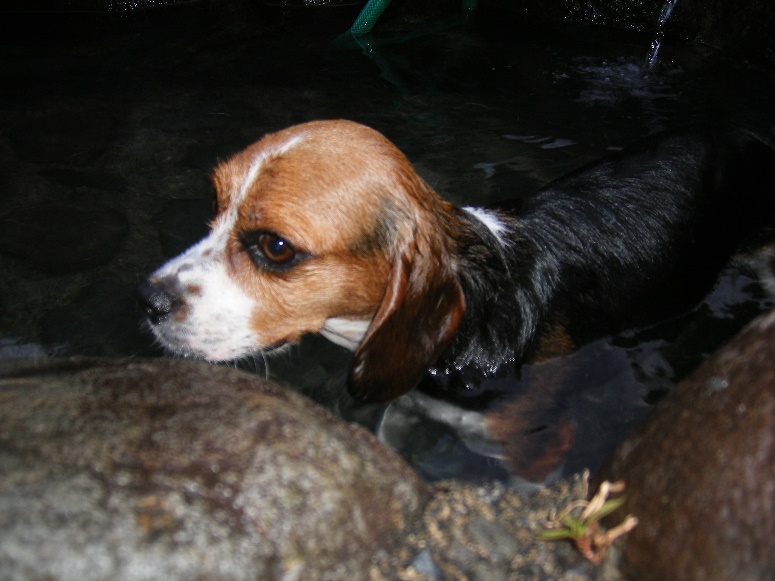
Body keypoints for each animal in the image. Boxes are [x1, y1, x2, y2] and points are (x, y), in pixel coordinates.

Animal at [139, 119, 775, 476]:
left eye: (275, 247)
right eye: (215, 204)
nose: (148, 301)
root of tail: (749, 136)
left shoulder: (535, 453)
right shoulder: (409, 407)